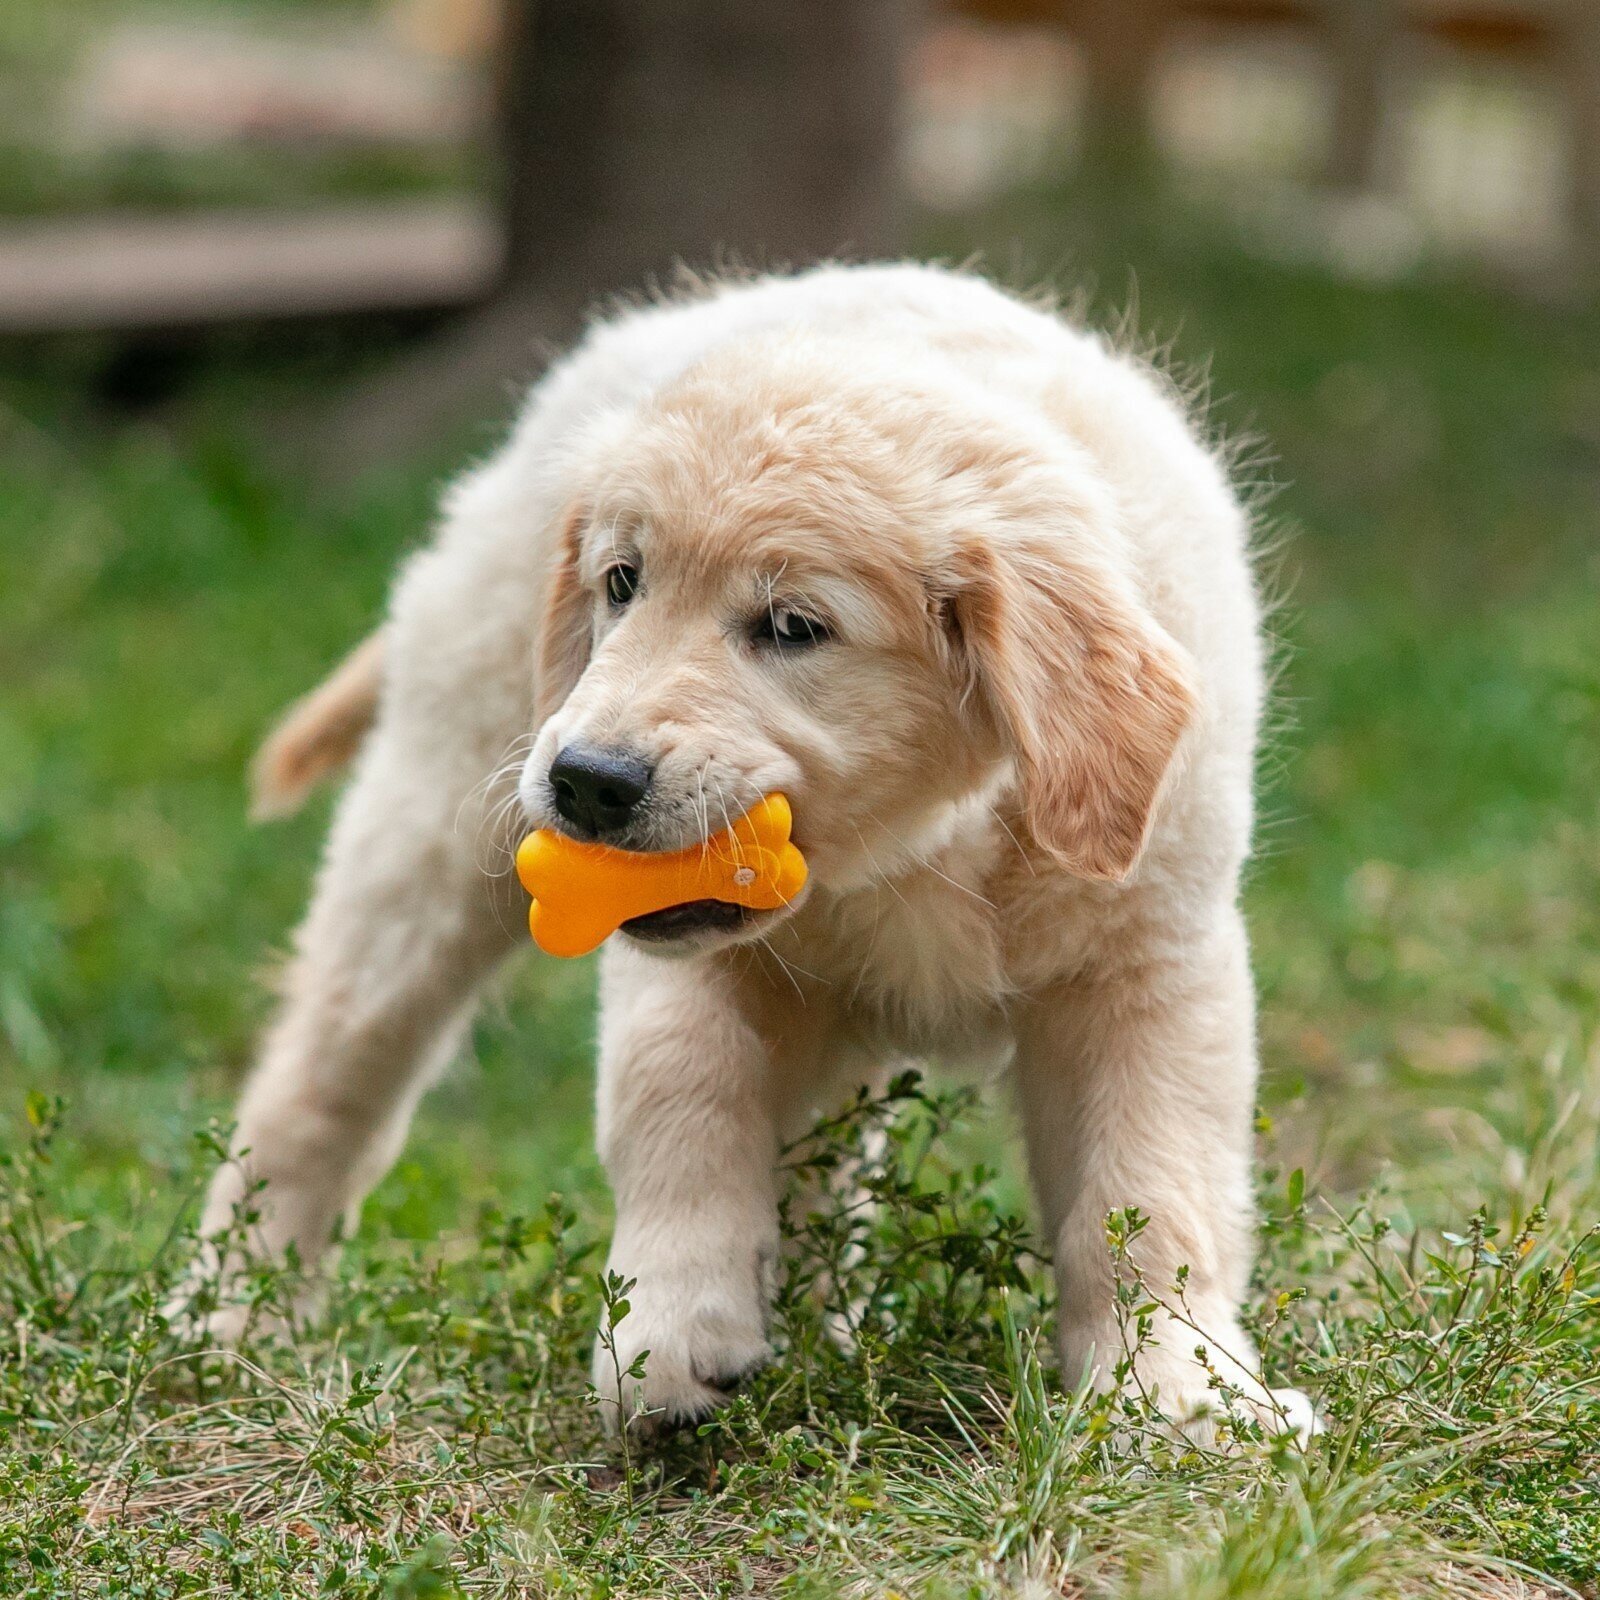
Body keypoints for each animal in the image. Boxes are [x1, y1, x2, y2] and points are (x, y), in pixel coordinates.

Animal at [196, 262, 1312, 1440]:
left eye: (791, 627)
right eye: (622, 581)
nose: (587, 781)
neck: (920, 845)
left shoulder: (1148, 957)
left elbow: (1149, 1185)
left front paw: (1177, 1391)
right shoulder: (687, 964)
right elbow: (681, 1097)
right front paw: (669, 1334)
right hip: (435, 818)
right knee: (324, 1080)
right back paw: (232, 1314)